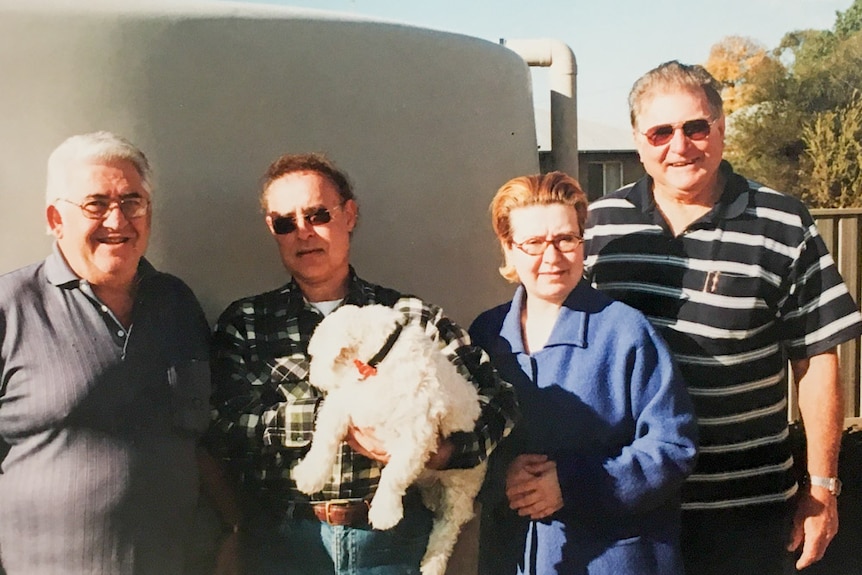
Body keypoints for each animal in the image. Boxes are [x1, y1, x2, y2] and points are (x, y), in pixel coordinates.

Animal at [296, 306, 486, 575]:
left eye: (315, 355)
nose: (312, 378)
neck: (378, 363)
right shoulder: (345, 401)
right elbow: (325, 437)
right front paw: (310, 475)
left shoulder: (416, 432)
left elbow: (395, 474)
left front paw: (385, 511)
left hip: (461, 486)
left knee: (447, 527)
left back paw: (433, 563)